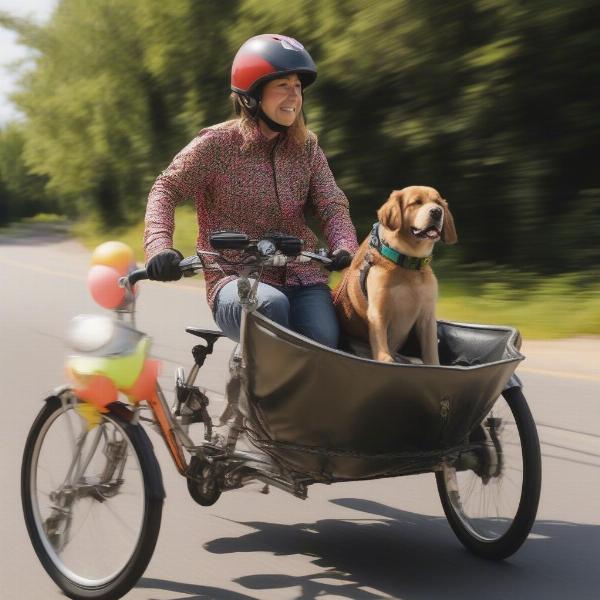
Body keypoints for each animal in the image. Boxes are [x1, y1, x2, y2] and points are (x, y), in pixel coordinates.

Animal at [332, 185, 460, 364]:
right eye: (416, 202)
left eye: (438, 202)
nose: (436, 211)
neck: (408, 265)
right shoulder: (378, 313)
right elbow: (384, 355)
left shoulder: (427, 318)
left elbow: (432, 355)